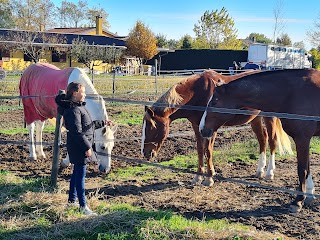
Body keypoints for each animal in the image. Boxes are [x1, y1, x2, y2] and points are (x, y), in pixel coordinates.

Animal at [141, 69, 292, 186]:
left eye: (151, 127)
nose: (145, 153)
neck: (197, 93)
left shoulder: (210, 129)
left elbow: (208, 150)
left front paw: (209, 178)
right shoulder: (197, 126)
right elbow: (200, 150)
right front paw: (198, 176)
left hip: (269, 117)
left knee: (272, 141)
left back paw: (269, 173)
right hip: (255, 119)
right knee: (262, 140)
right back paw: (259, 171)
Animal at [200, 68, 320, 212]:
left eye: (214, 102)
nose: (202, 129)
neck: (293, 93)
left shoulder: (302, 138)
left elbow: (302, 169)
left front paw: (298, 201)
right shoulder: (304, 140)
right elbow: (307, 167)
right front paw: (309, 194)